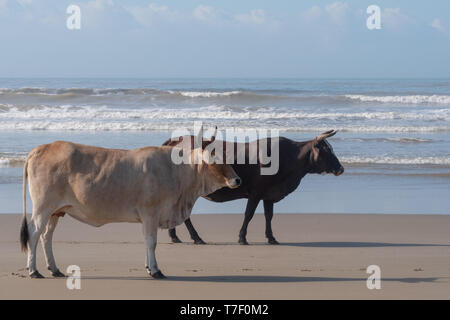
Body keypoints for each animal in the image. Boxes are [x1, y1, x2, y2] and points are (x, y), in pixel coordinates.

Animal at [19, 134, 241, 278]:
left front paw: (148, 267)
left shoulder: (148, 217)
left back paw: (54, 269)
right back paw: (34, 271)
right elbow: (151, 242)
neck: (178, 171)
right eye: (215, 158)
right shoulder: (151, 213)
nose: (237, 180)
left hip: (56, 211)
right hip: (43, 208)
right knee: (34, 233)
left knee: (47, 237)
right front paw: (155, 271)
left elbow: (147, 242)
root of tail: (42, 148)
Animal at [165, 130, 344, 245]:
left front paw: (271, 237)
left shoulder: (269, 194)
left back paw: (174, 236)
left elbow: (269, 216)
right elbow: (249, 214)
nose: (341, 168)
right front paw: (242, 238)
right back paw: (196, 237)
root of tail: (177, 140)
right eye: (327, 150)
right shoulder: (256, 193)